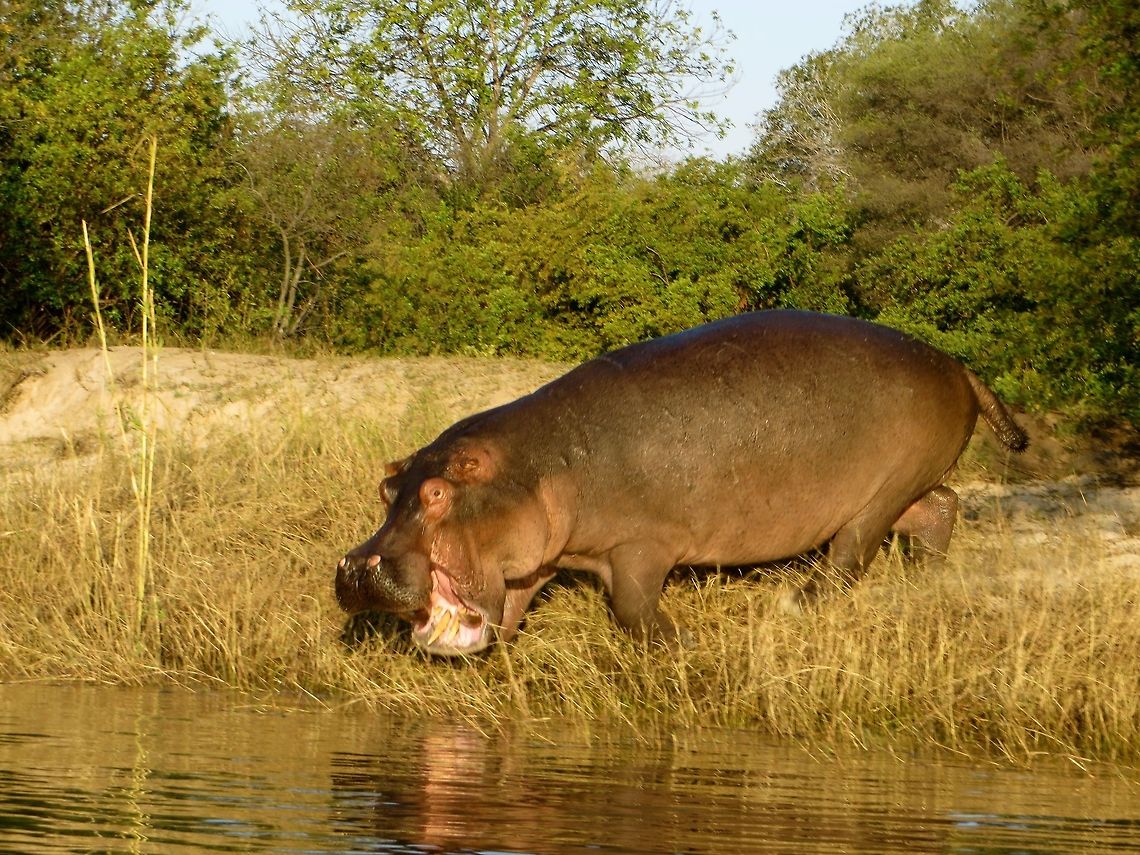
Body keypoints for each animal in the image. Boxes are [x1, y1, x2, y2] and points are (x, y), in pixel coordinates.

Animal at [335, 310, 1027, 656]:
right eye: (386, 491)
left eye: (437, 495)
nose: (360, 566)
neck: (541, 462)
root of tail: (961, 367)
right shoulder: (536, 559)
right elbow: (509, 608)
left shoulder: (640, 546)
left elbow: (632, 608)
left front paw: (685, 643)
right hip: (901, 488)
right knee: (940, 506)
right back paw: (927, 579)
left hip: (873, 500)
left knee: (848, 560)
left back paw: (793, 605)